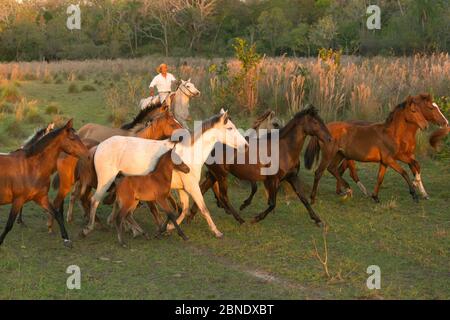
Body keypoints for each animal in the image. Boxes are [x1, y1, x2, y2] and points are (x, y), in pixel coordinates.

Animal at [0, 120, 89, 248]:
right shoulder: (18, 200)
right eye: (72, 138)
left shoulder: (41, 198)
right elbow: (9, 224)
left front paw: (66, 239)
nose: (88, 154)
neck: (32, 166)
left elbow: (56, 214)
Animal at [82, 110, 248, 238]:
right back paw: (89, 228)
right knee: (94, 200)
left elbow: (183, 209)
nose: (245, 145)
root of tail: (99, 146)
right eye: (230, 128)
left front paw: (168, 228)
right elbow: (203, 208)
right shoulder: (192, 187)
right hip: (106, 181)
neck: (189, 153)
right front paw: (217, 232)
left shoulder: (182, 189)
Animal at [188, 105, 332, 225]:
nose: (329, 138)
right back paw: (240, 219)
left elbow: (304, 199)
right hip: (221, 174)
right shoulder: (273, 179)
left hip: (215, 174)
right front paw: (256, 218)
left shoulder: (292, 177)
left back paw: (192, 214)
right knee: (223, 196)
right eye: (315, 122)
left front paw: (318, 220)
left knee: (203, 189)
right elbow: (272, 203)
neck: (285, 149)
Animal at [304, 94, 434, 202]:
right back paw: (314, 197)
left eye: (420, 110)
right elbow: (404, 172)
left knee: (332, 169)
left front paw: (375, 197)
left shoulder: (386, 160)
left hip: (339, 154)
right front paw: (414, 194)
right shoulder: (389, 159)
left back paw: (349, 189)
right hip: (328, 154)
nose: (425, 126)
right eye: (413, 110)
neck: (390, 133)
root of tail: (324, 129)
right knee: (319, 172)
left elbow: (381, 178)